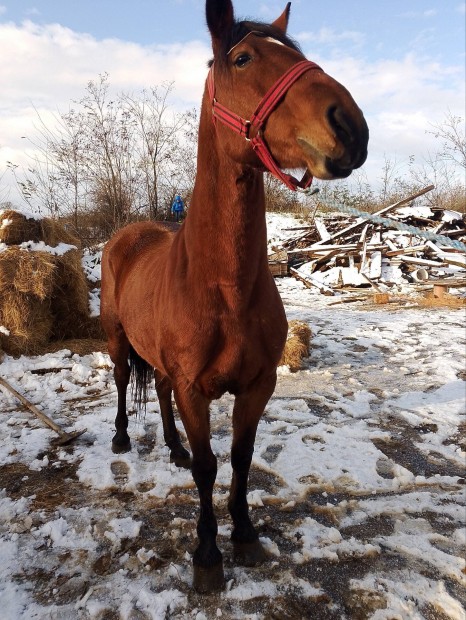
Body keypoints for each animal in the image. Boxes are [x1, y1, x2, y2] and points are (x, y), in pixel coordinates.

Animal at [100, 0, 370, 592]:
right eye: (243, 59)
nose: (350, 126)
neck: (224, 289)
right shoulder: (195, 390)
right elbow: (209, 467)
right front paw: (207, 554)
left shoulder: (258, 385)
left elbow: (241, 457)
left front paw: (244, 534)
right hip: (116, 340)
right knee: (124, 383)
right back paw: (123, 439)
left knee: (157, 388)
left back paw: (172, 446)